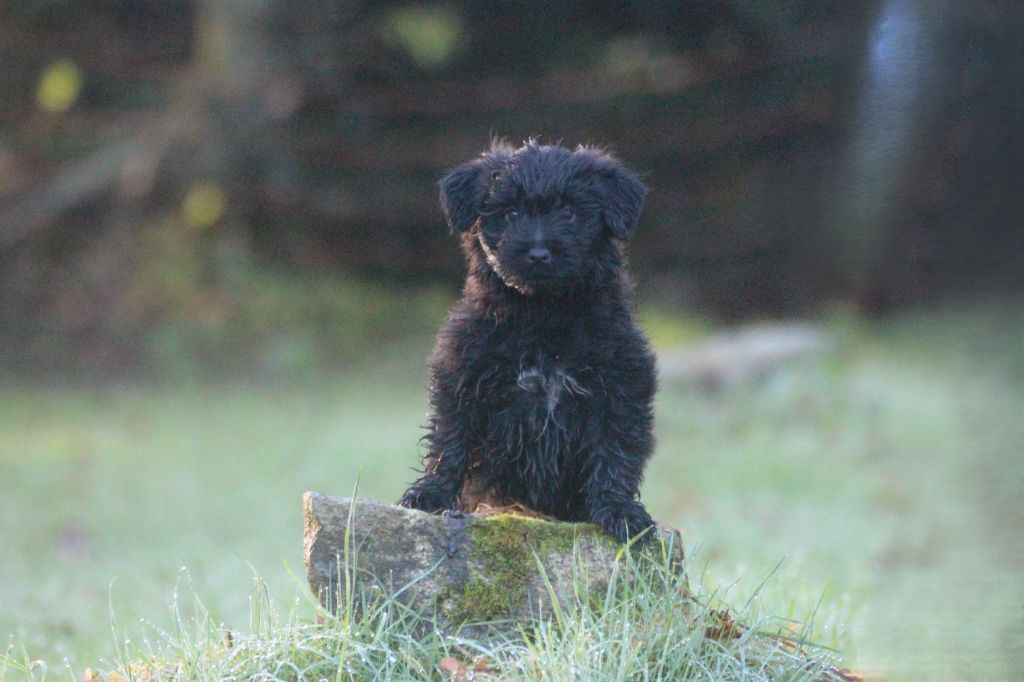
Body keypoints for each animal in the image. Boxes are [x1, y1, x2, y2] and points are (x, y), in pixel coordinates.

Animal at [395, 138, 659, 540]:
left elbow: (614, 450)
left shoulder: (621, 385)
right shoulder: (460, 374)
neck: (542, 315)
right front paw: (429, 494)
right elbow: (450, 439)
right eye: (512, 212)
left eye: (569, 212)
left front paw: (621, 512)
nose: (538, 253)